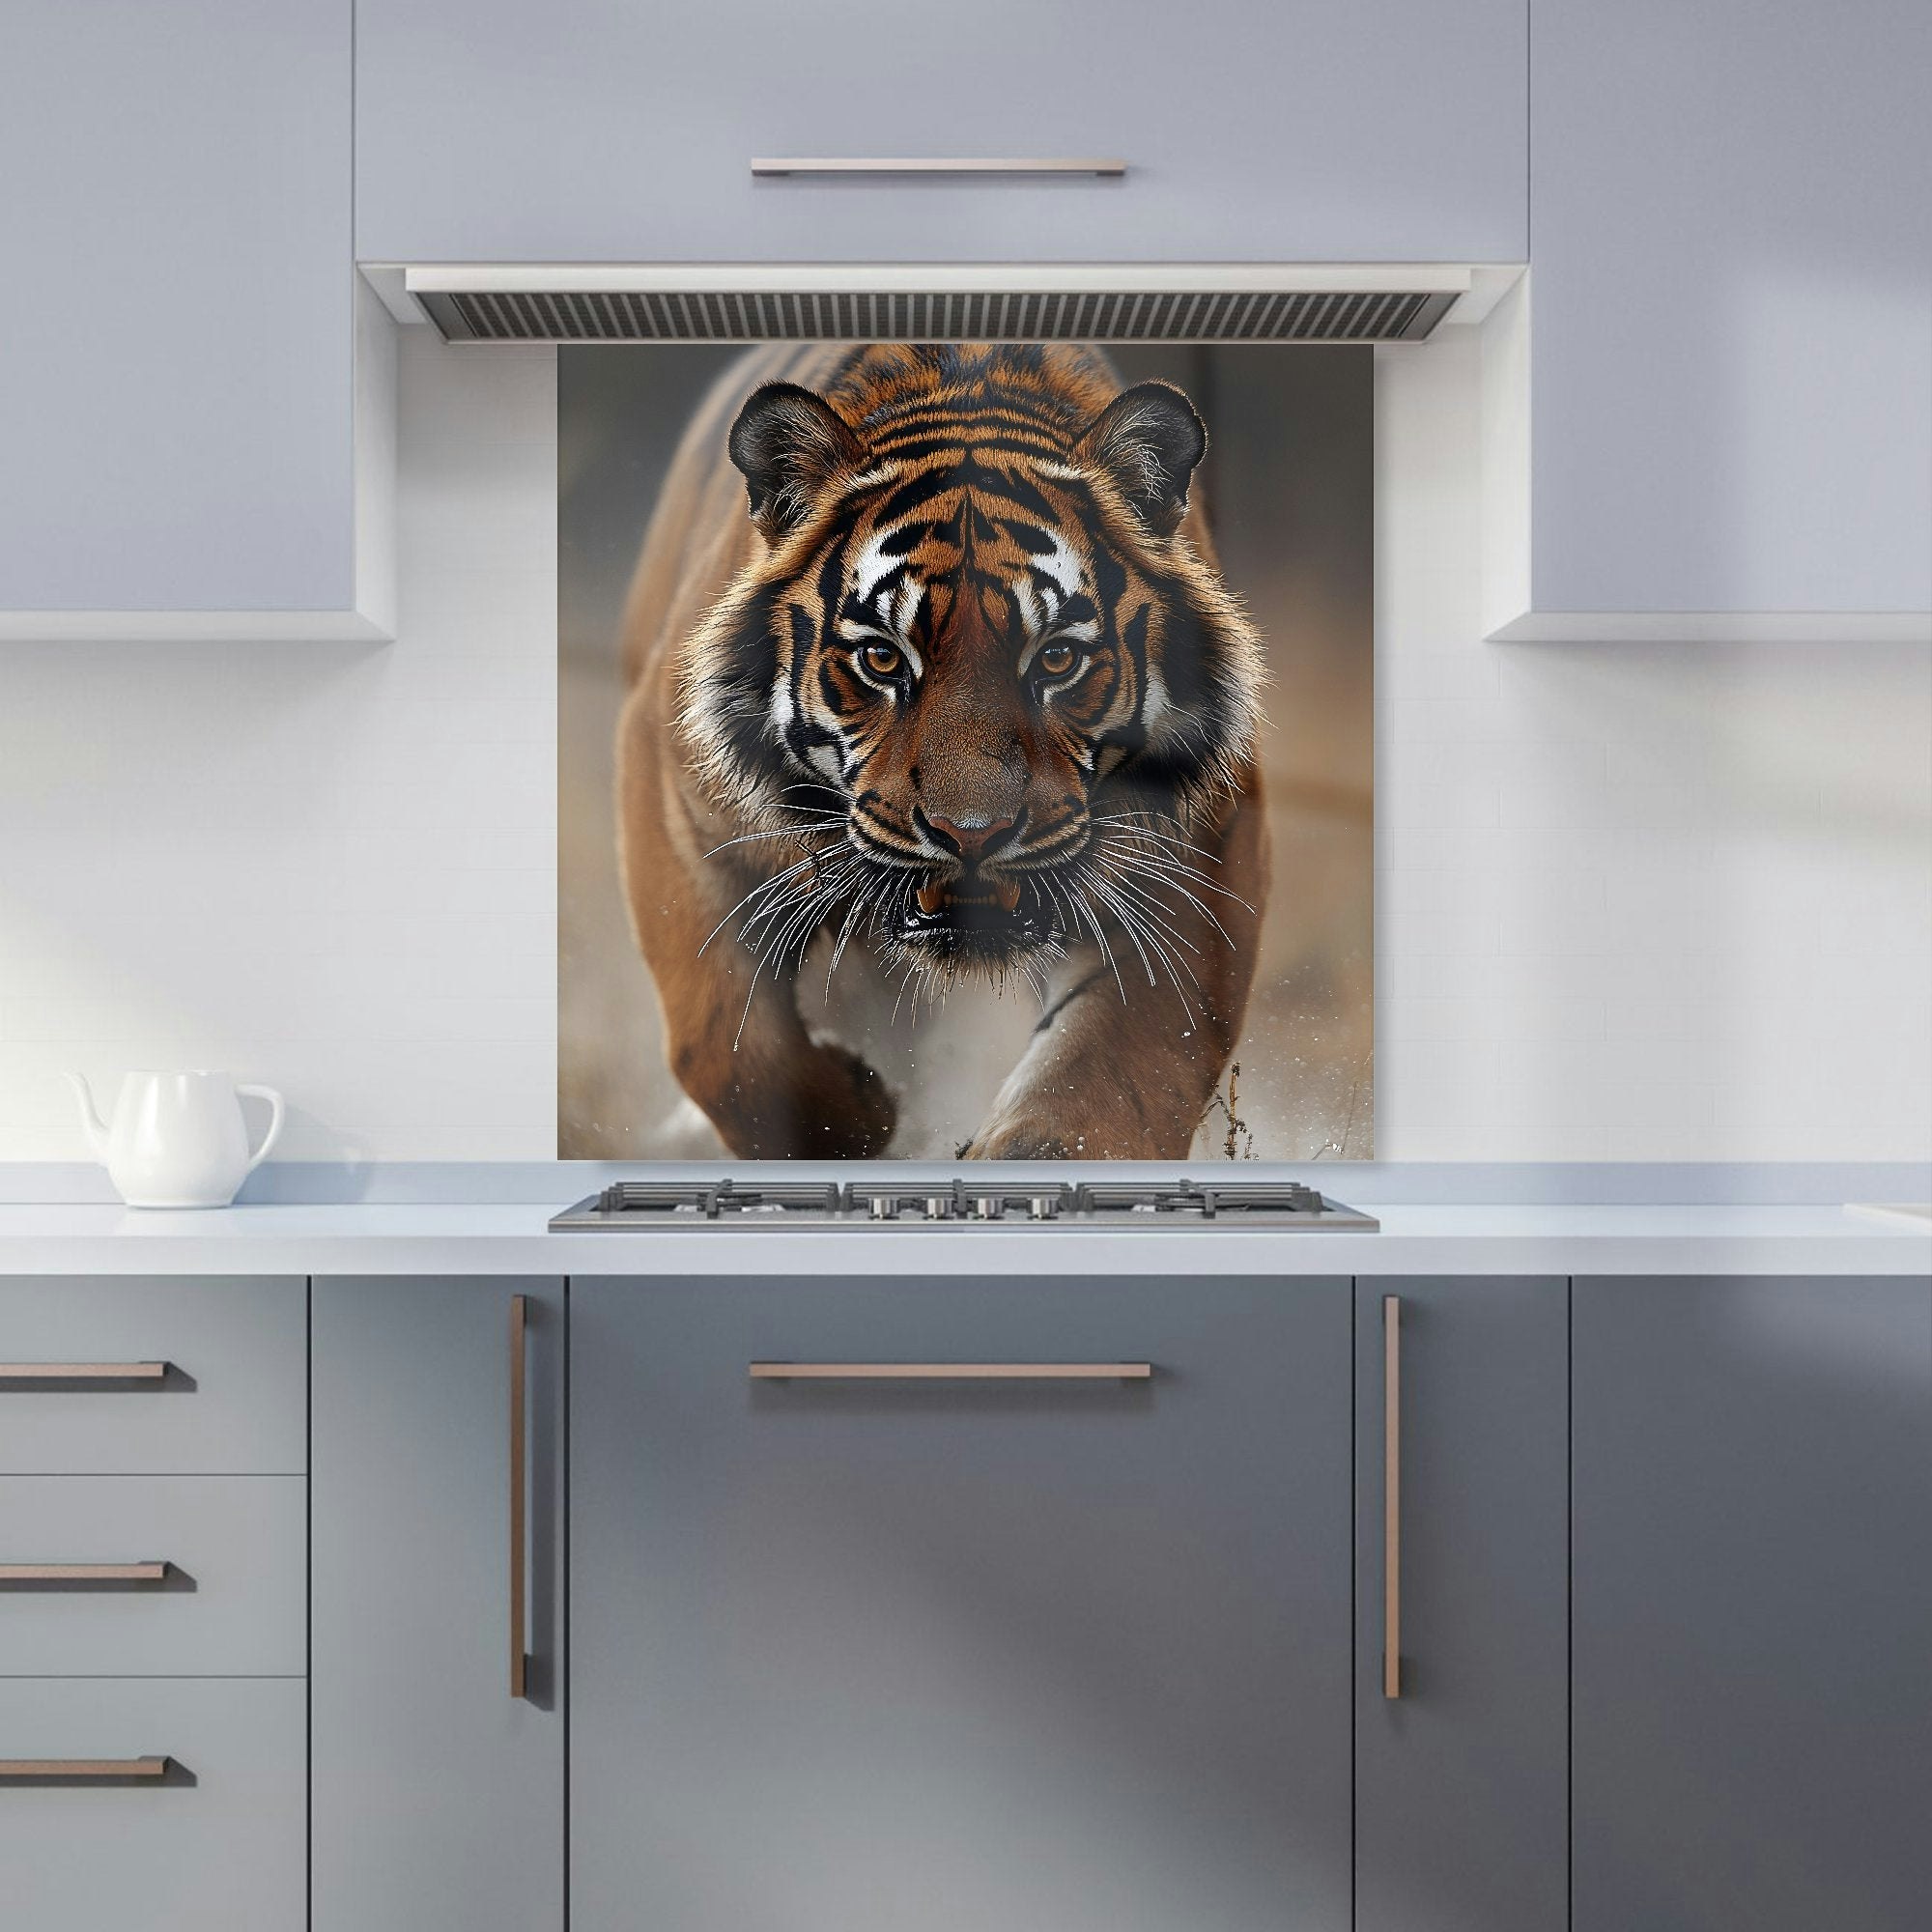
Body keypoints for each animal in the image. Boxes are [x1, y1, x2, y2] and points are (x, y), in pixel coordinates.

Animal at [615, 341, 1269, 1159]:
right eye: (883, 659)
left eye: (1056, 659)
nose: (973, 835)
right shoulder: (677, 800)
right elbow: (725, 1046)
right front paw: (859, 1119)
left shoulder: (1197, 843)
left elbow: (1114, 1069)